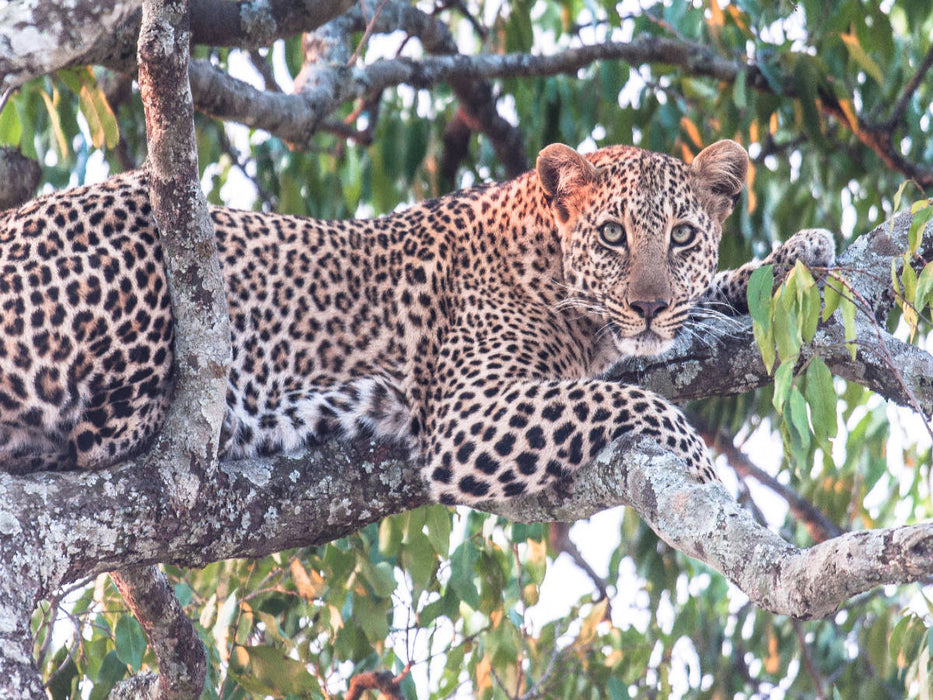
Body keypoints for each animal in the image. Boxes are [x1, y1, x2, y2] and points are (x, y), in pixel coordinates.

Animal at [0, 140, 834, 505]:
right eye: (611, 236)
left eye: (682, 237)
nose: (649, 305)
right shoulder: (470, 417)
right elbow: (635, 402)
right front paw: (708, 478)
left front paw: (799, 252)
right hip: (138, 229)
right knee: (100, 439)